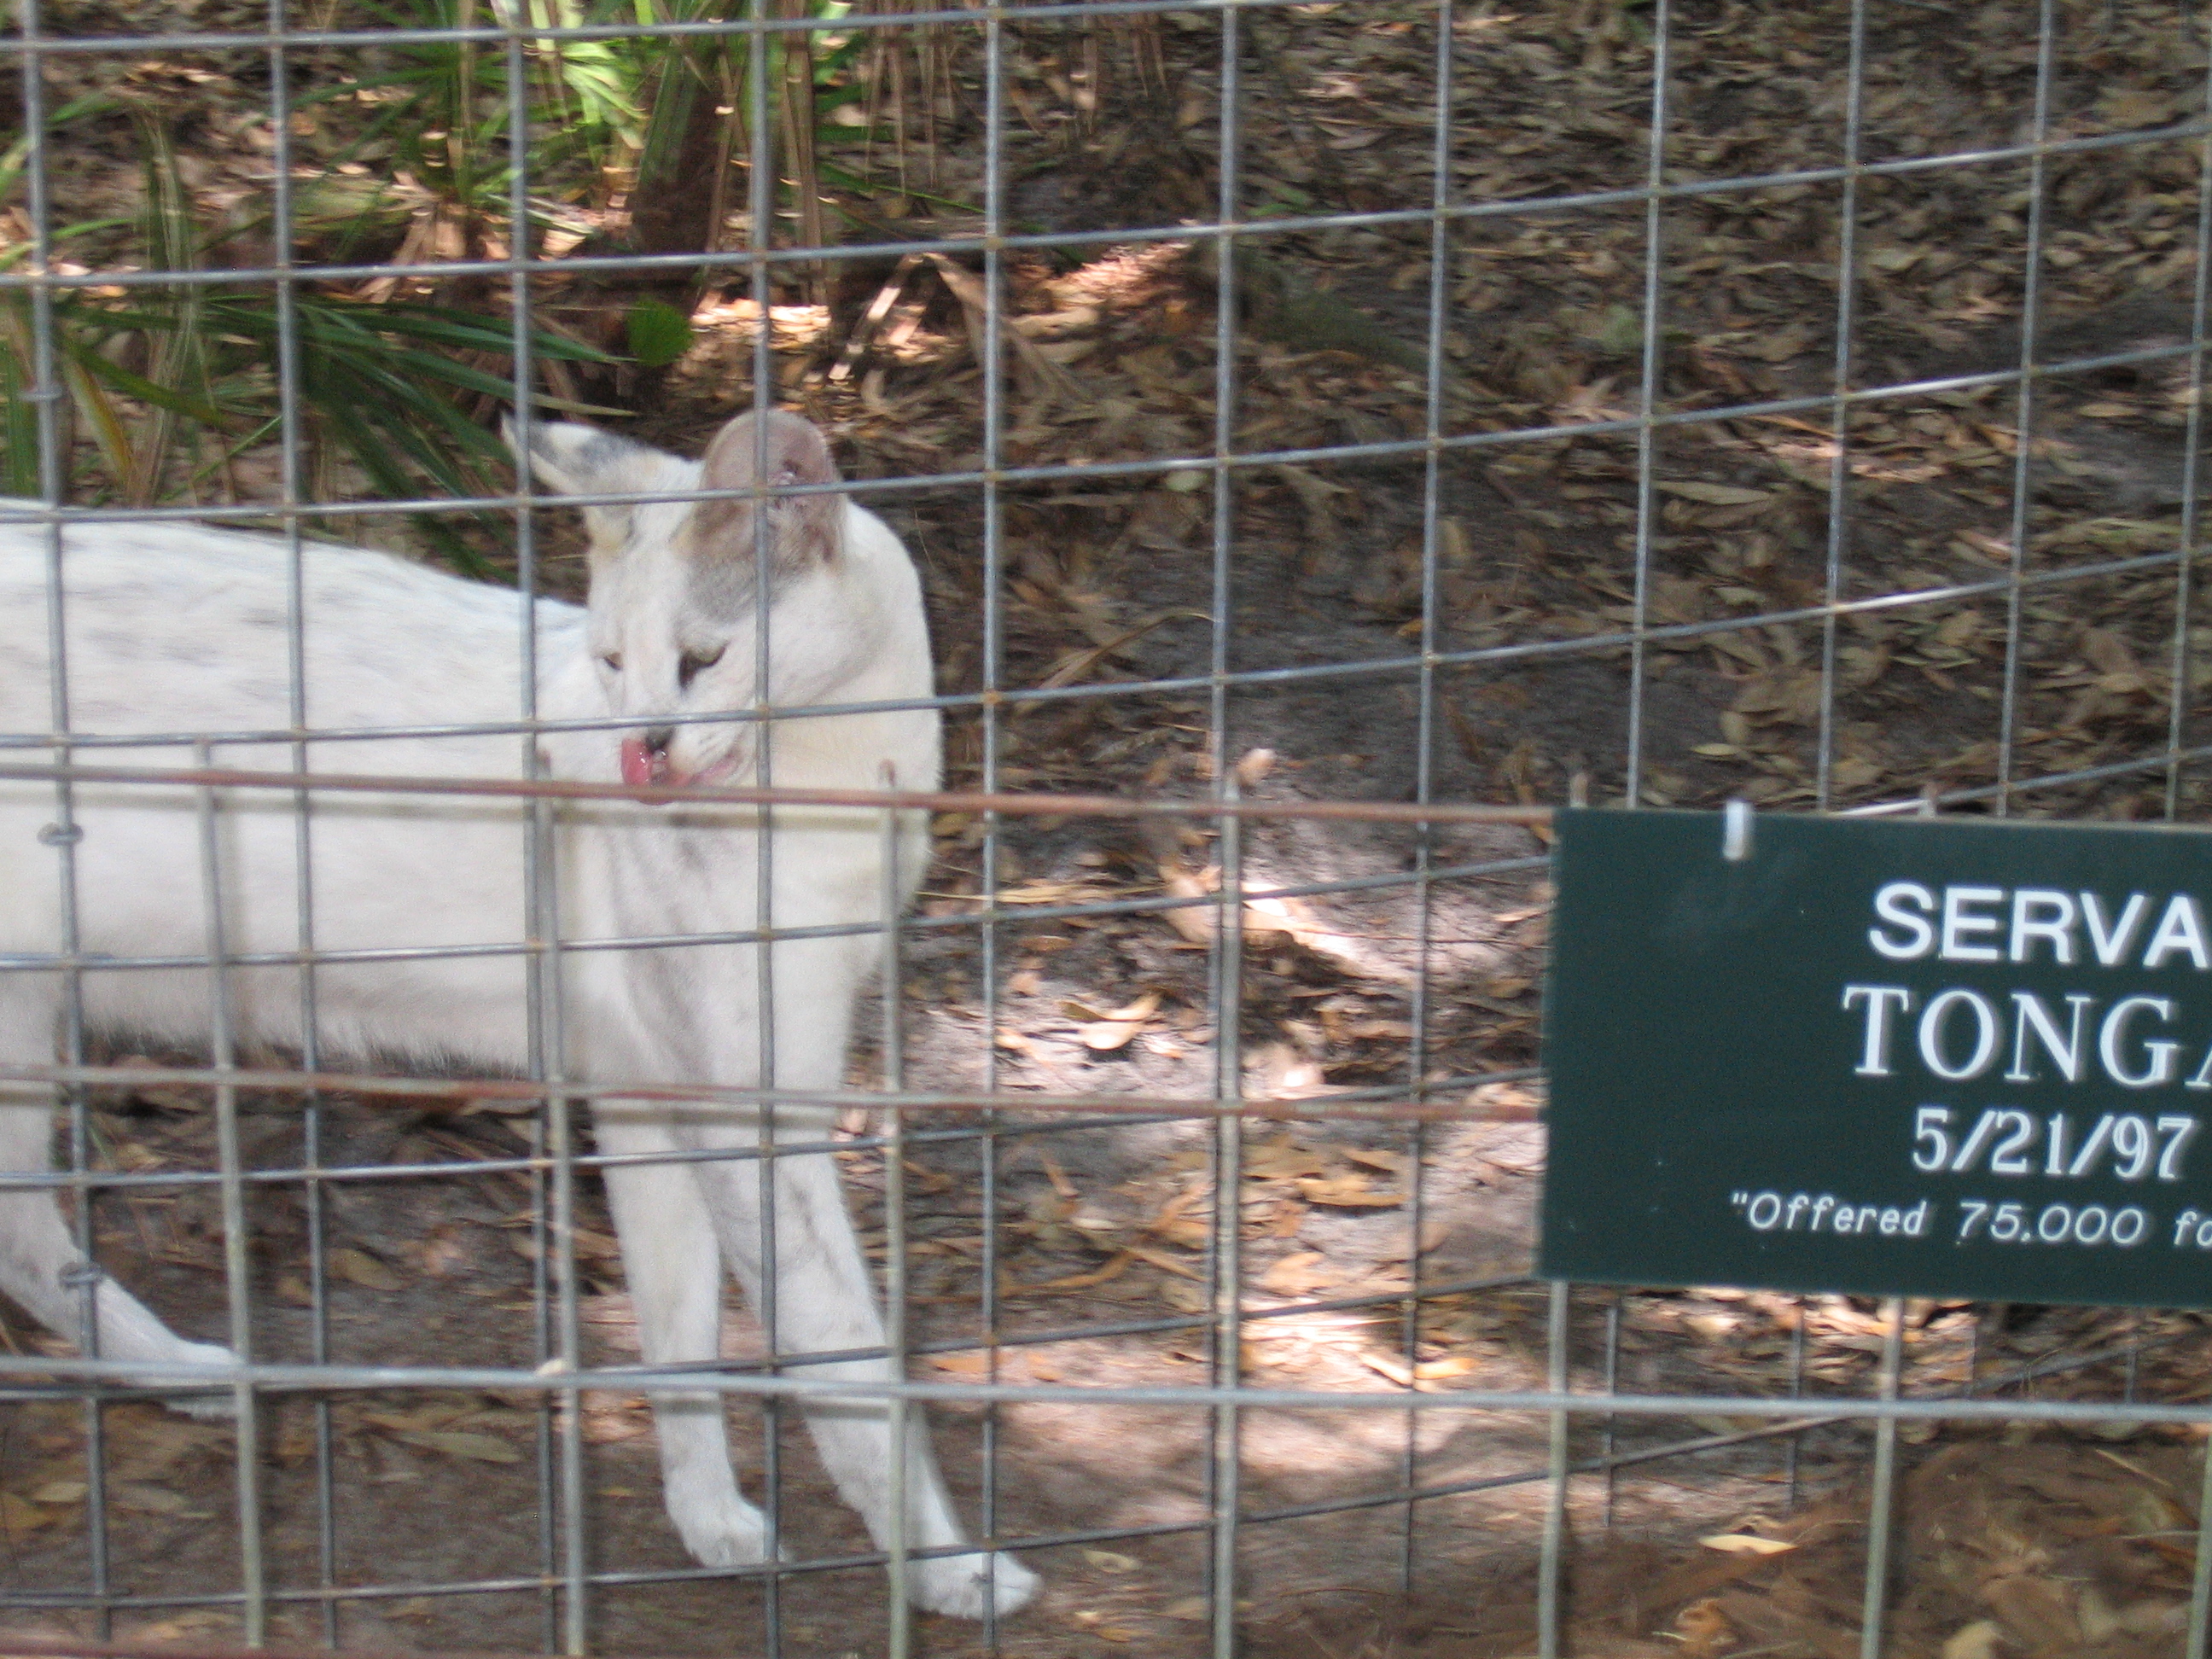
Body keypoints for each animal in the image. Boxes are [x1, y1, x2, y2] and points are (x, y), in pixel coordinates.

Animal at [0, 409, 1038, 1619]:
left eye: (702, 660)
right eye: (614, 662)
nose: (643, 754)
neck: (840, 784)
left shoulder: (646, 1098)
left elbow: (679, 1339)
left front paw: (711, 1521)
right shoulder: (745, 1113)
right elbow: (851, 1367)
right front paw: (948, 1570)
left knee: (25, 1235)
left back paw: (188, 1374)